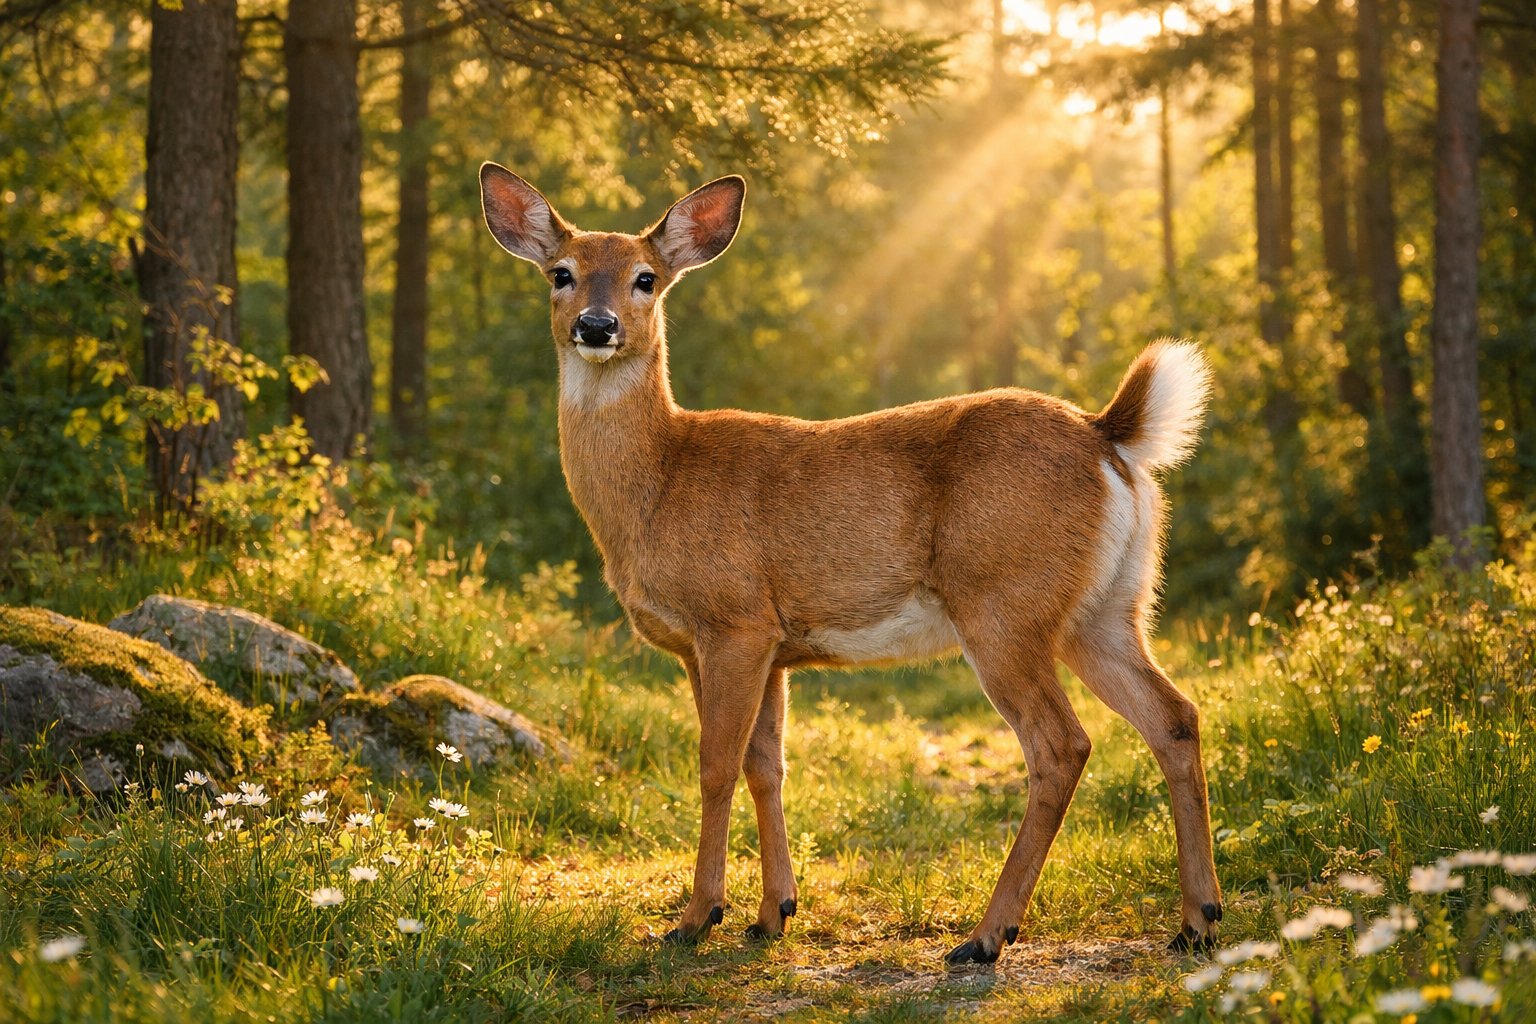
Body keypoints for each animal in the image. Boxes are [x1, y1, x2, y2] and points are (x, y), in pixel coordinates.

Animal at [479, 164, 1224, 964]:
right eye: (561, 273)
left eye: (645, 279)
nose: (597, 326)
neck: (659, 483)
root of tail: (1108, 434)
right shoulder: (766, 646)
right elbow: (766, 765)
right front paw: (773, 913)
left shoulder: (732, 620)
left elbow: (715, 764)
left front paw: (696, 917)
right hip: (1108, 608)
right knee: (1174, 716)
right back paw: (1197, 922)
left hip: (1002, 601)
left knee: (1061, 745)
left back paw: (986, 936)